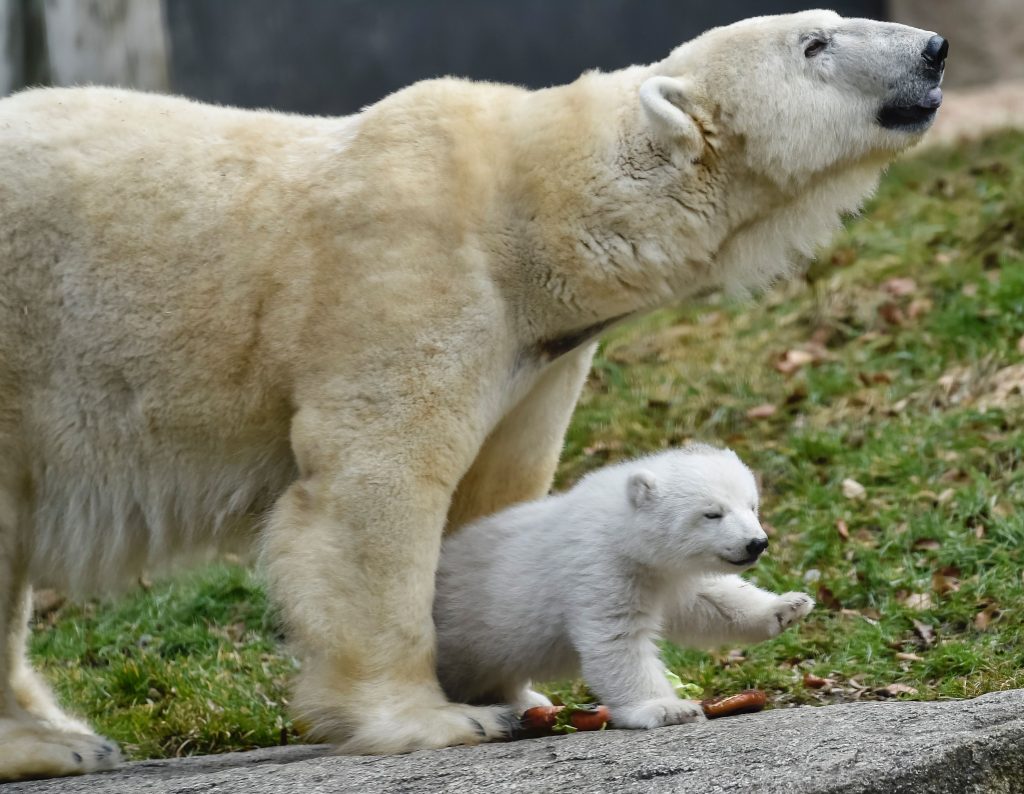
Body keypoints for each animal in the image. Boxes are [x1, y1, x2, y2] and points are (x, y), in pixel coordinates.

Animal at [0, 6, 942, 774]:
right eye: (813, 43)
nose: (933, 50)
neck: (524, 211)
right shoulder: (405, 278)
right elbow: (374, 489)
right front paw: (436, 719)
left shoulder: (538, 355)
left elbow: (493, 492)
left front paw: (514, 689)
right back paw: (56, 743)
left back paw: (69, 738)